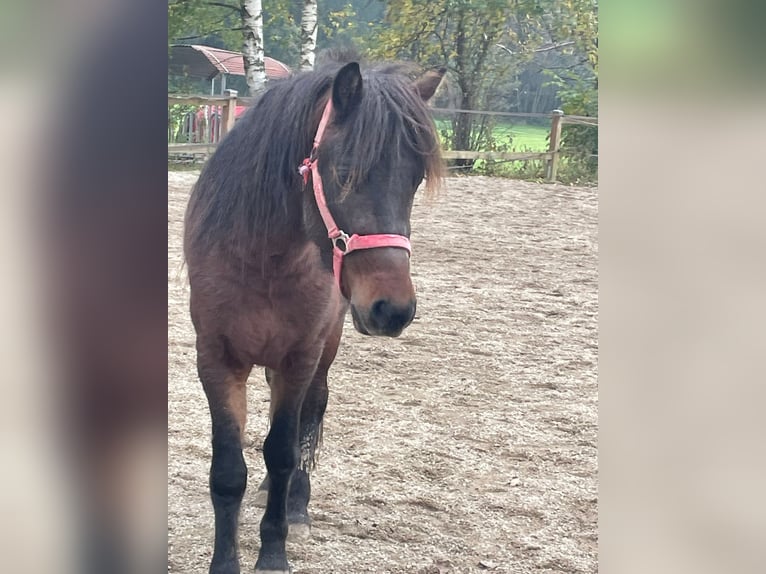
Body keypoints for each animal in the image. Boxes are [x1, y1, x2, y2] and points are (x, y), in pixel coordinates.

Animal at [184, 59, 444, 574]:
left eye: (414, 179)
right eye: (343, 172)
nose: (393, 309)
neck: (263, 261)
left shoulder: (300, 357)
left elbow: (284, 450)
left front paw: (274, 552)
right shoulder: (217, 359)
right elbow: (228, 468)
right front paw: (226, 560)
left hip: (326, 349)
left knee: (310, 416)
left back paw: (296, 505)